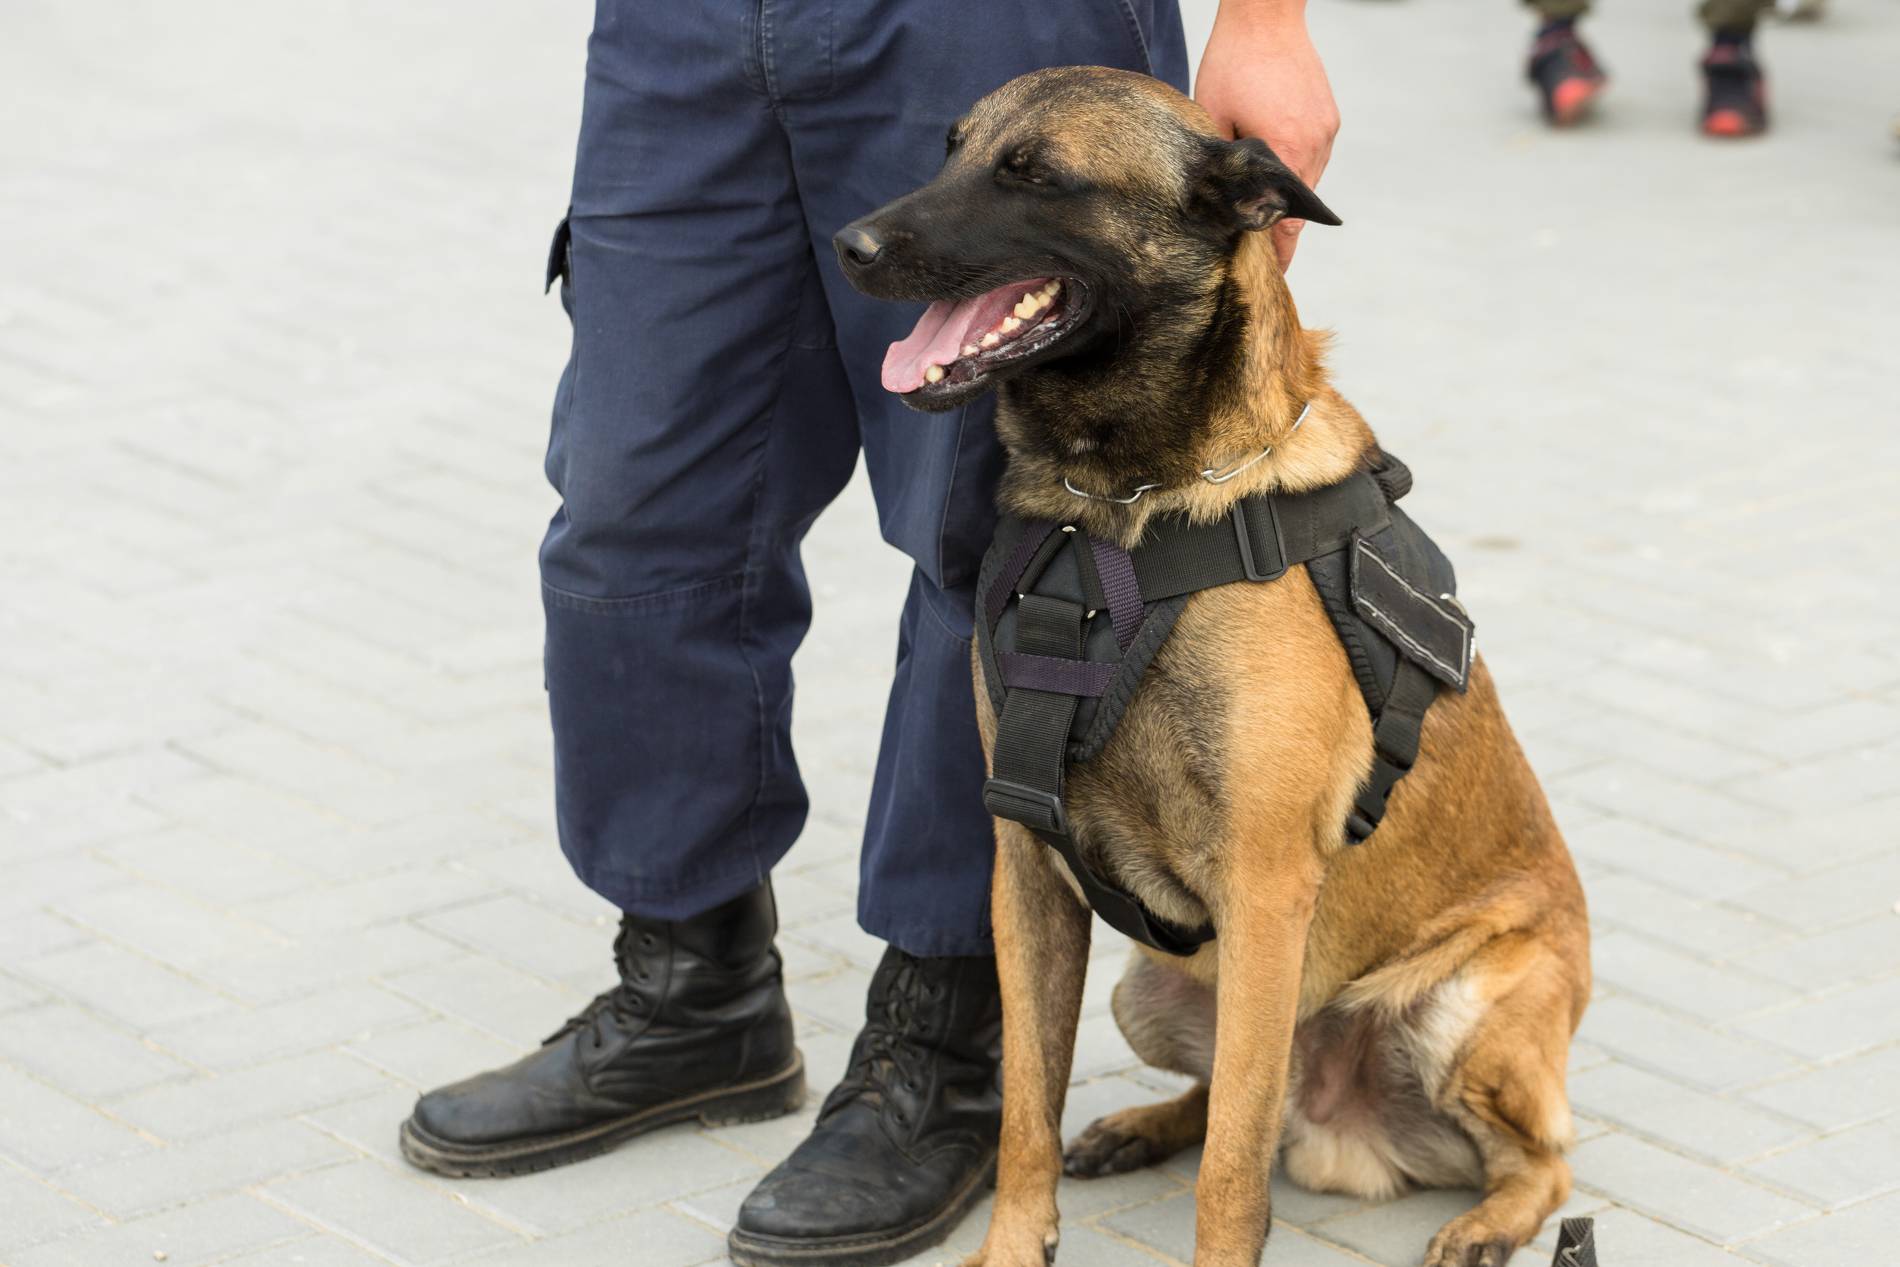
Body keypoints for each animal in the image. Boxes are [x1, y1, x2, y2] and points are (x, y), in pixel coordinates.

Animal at [832, 71, 1588, 1267]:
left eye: (1036, 175)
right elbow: (1025, 1114)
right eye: (951, 152)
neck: (1115, 511)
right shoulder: (1026, 872)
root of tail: (1343, 1121)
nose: (848, 246)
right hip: (1153, 988)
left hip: (1464, 1007)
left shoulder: (1265, 886)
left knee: (1533, 1156)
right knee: (1241, 1099)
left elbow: (1230, 1172)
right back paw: (1142, 1123)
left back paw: (1483, 1225)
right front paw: (1015, 1242)